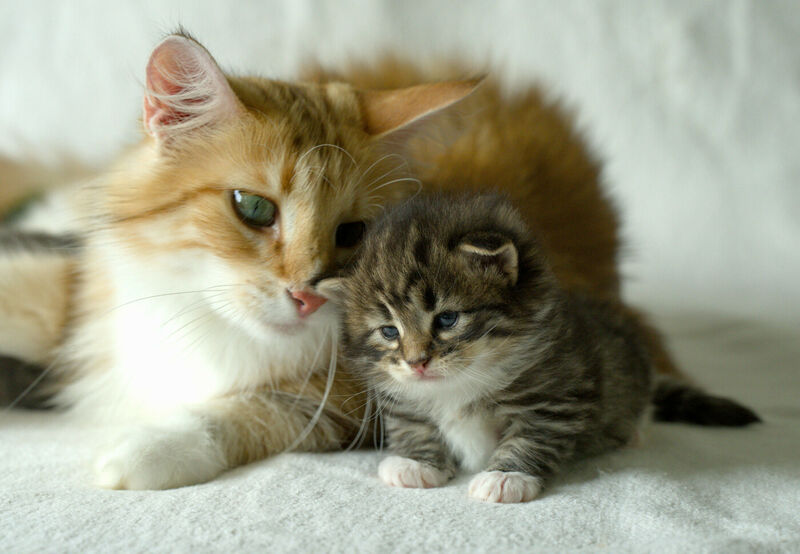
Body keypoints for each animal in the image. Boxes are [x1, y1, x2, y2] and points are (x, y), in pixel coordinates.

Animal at [324, 193, 764, 500]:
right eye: (389, 331)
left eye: (447, 319)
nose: (417, 362)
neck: (462, 381)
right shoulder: (402, 397)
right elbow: (412, 424)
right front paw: (414, 462)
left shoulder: (555, 396)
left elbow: (530, 437)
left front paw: (506, 477)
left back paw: (635, 428)